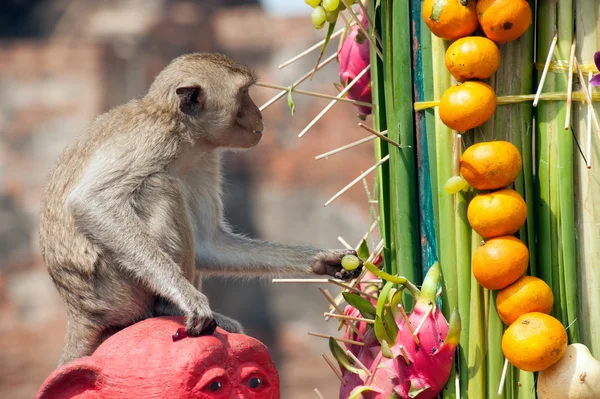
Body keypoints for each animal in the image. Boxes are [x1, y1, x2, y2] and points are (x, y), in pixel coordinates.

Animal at [41, 54, 360, 368]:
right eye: (244, 93)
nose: (259, 115)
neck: (185, 134)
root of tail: (79, 311)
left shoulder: (207, 158)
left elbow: (209, 242)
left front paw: (321, 259)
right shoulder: (154, 138)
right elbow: (91, 202)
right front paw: (187, 297)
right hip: (113, 287)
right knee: (158, 186)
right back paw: (166, 305)